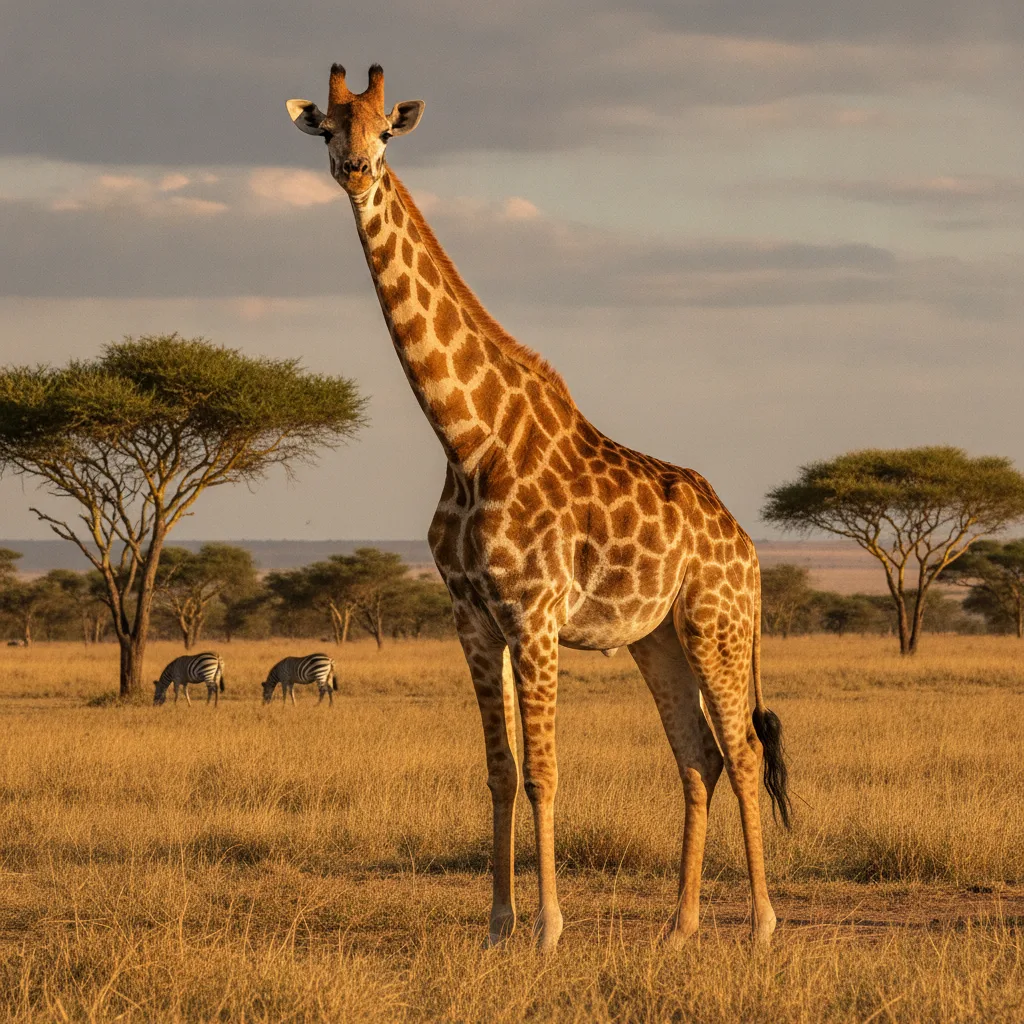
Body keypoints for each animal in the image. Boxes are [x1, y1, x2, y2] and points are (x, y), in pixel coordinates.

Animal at [286, 63, 792, 952]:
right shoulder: (473, 619)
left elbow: (545, 773)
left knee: (743, 751)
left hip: (717, 625)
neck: (467, 439)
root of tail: (747, 546)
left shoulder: (535, 614)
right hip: (656, 637)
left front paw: (550, 928)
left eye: (386, 131)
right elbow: (500, 771)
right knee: (698, 755)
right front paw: (498, 924)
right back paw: (679, 928)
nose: (356, 170)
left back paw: (762, 926)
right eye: (330, 129)